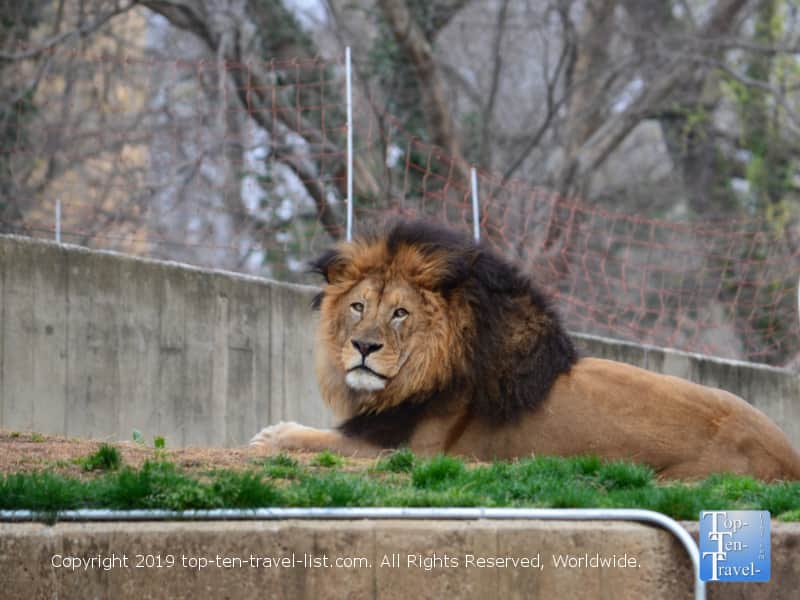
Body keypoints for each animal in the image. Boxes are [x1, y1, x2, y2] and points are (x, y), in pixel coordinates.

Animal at [250, 220, 800, 480]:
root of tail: (787, 454)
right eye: (359, 306)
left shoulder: (409, 449)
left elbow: (317, 438)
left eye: (400, 313)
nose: (363, 346)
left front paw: (272, 434)